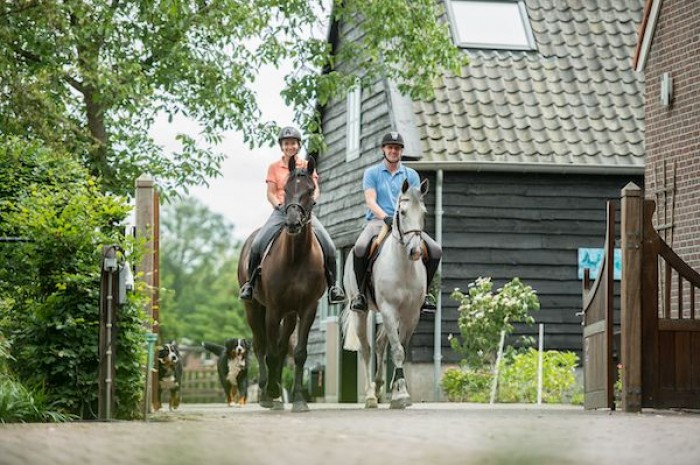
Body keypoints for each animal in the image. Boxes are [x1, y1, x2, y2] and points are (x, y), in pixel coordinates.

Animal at [238, 158, 326, 412]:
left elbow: (298, 353)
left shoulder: (307, 309)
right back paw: (267, 393)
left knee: (282, 343)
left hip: (289, 315)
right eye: (285, 189)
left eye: (310, 190)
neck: (296, 257)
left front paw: (298, 399)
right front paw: (271, 392)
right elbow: (271, 353)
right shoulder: (273, 309)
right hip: (254, 308)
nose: (293, 223)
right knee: (260, 345)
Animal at [342, 179, 430, 410]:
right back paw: (370, 396)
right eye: (402, 212)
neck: (404, 267)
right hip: (361, 313)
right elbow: (397, 350)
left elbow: (402, 349)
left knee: (381, 343)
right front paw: (400, 395)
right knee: (366, 348)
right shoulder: (389, 310)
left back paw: (380, 385)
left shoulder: (411, 314)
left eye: (424, 213)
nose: (416, 251)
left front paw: (399, 390)